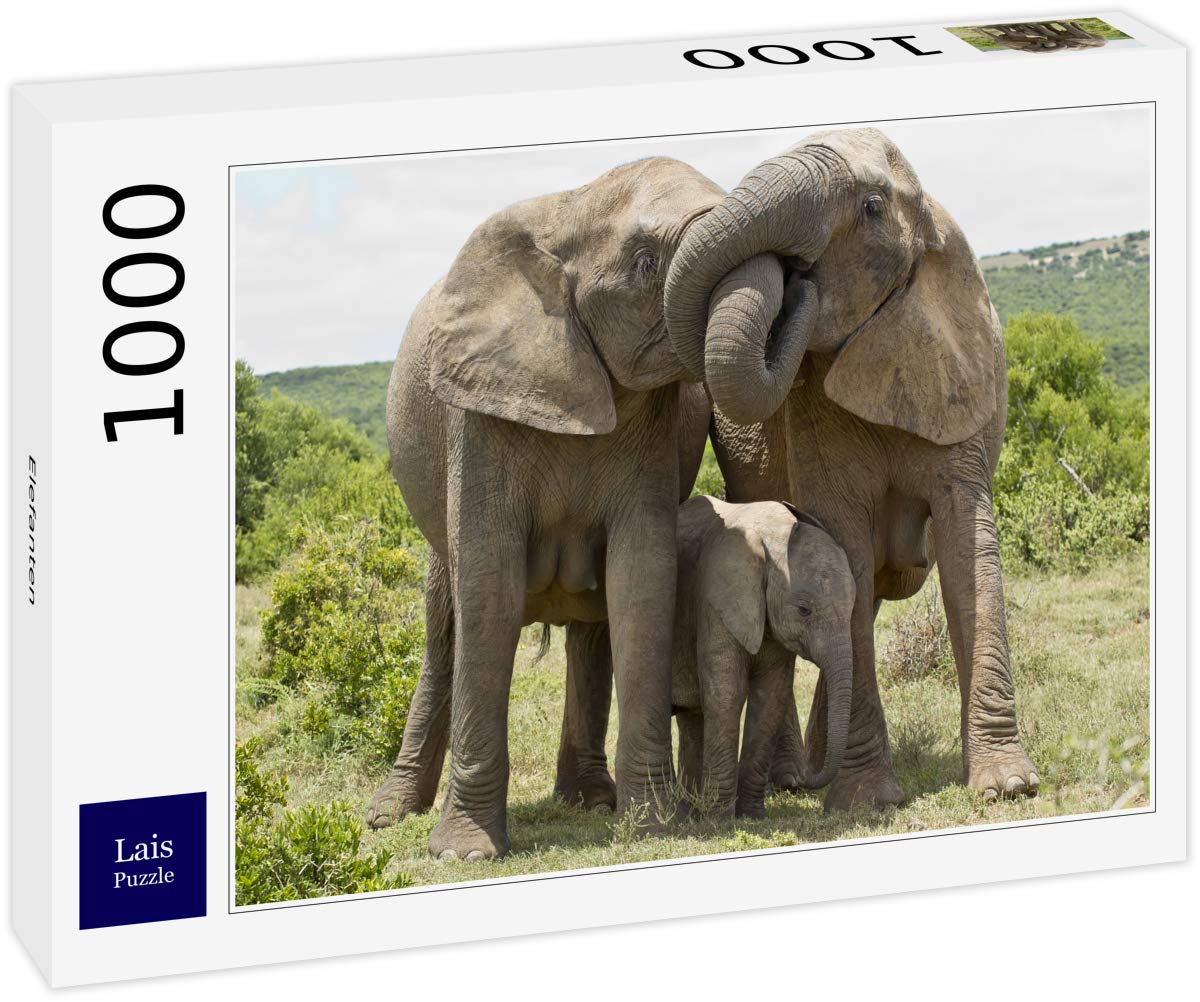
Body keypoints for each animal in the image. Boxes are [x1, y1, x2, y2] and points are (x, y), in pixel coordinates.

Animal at [364, 156, 725, 859]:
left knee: (593, 628)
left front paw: (654, 830)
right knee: (444, 629)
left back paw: (590, 801)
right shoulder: (478, 415)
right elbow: (488, 586)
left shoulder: (655, 427)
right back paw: (387, 816)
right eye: (646, 263)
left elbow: (641, 579)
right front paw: (464, 852)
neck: (571, 210)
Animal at [670, 496, 854, 819]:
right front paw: (718, 821)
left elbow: (771, 696)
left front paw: (751, 816)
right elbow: (726, 694)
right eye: (804, 610)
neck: (774, 536)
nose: (798, 779)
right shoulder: (717, 599)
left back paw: (688, 815)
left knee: (690, 717)